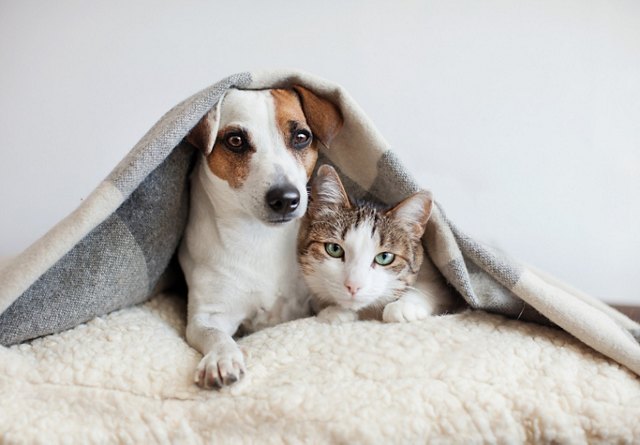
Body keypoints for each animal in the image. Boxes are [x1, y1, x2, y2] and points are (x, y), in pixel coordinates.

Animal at [178, 85, 342, 386]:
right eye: (235, 140)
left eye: (301, 137)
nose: (286, 198)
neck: (261, 238)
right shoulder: (207, 316)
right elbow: (215, 335)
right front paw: (222, 358)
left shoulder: (315, 296)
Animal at [298, 165, 458, 324]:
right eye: (334, 249)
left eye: (385, 257)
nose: (353, 286)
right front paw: (334, 311)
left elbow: (431, 287)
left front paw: (404, 306)